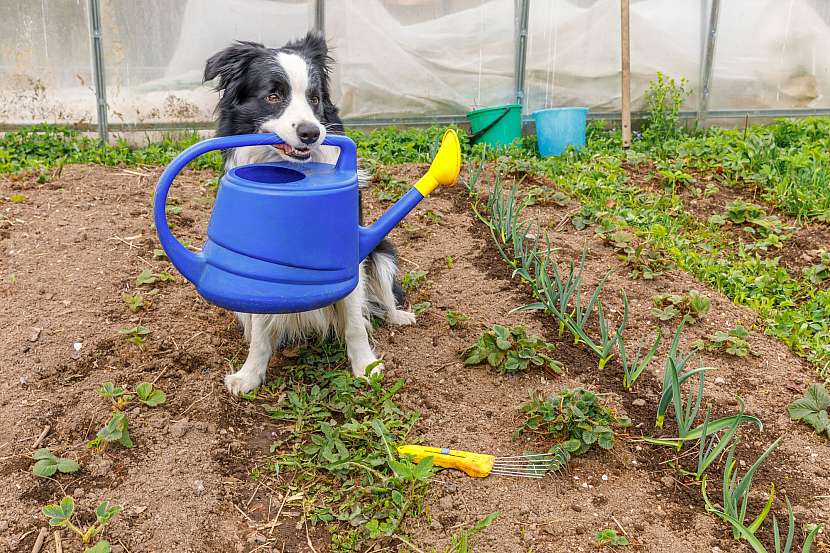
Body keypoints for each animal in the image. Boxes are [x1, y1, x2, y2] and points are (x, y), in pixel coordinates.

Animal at [206, 32, 414, 394]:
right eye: (273, 95)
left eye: (315, 98)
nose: (311, 132)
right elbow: (260, 329)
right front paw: (249, 375)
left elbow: (354, 320)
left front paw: (365, 366)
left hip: (383, 252)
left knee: (384, 297)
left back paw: (399, 316)